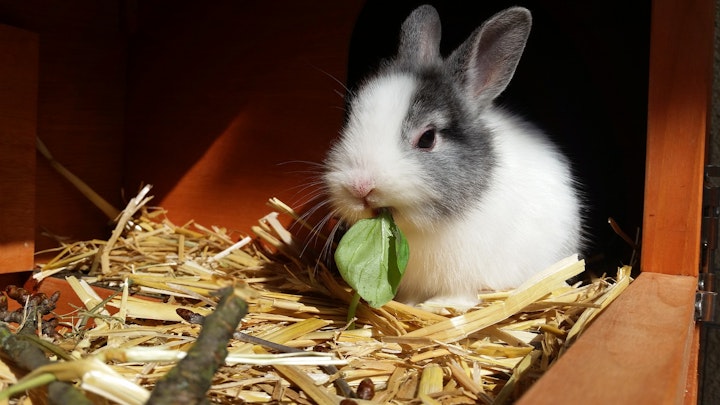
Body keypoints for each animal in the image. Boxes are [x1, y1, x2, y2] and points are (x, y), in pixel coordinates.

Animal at [324, 3, 584, 310]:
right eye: (351, 119)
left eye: (427, 138)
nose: (360, 187)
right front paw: (411, 304)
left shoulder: (468, 277)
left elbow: (461, 296)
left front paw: (434, 306)